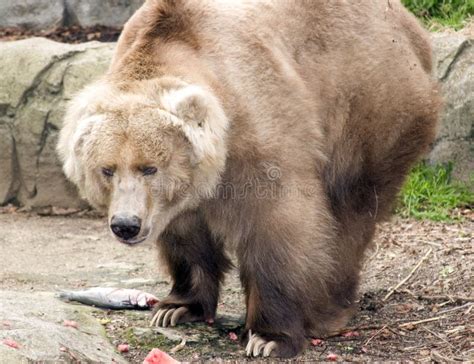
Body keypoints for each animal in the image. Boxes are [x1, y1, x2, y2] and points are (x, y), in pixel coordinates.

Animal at [58, 0, 440, 358]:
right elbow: (186, 235)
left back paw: (329, 308)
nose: (126, 225)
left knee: (351, 211)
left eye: (149, 167)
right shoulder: (179, 196)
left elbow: (277, 225)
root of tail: (413, 30)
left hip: (367, 106)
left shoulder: (258, 126)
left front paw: (268, 337)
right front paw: (176, 306)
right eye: (107, 169)